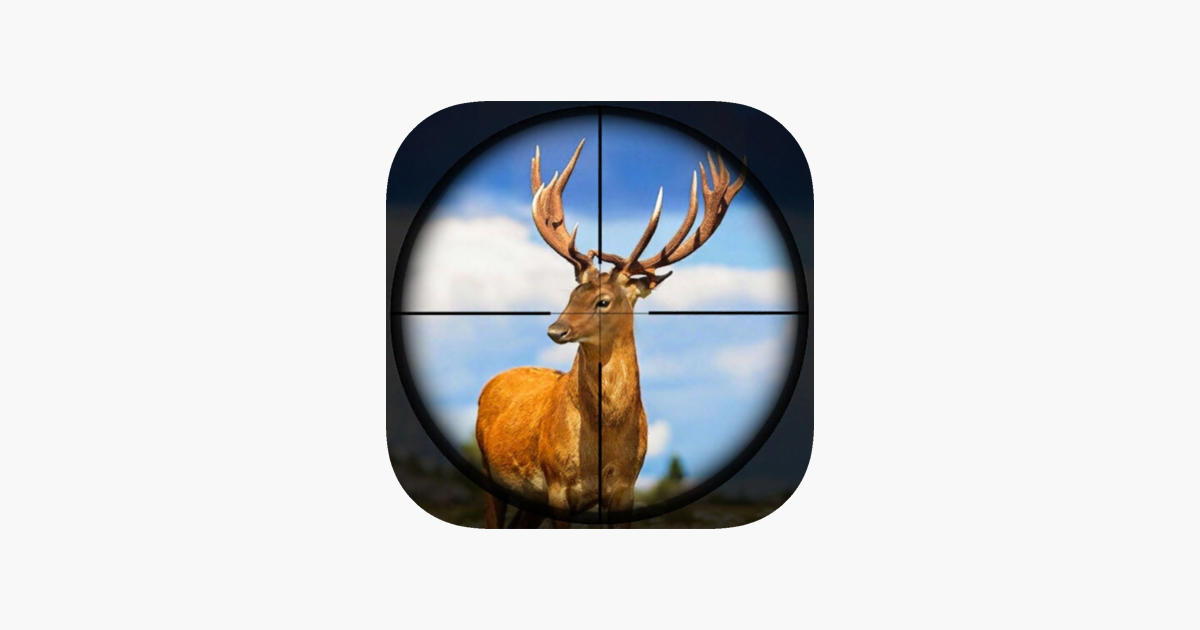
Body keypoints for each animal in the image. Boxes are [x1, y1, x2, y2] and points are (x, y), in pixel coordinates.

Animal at [474, 138, 745, 528]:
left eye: (602, 301)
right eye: (572, 294)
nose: (555, 328)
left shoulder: (626, 487)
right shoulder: (557, 482)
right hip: (488, 469)